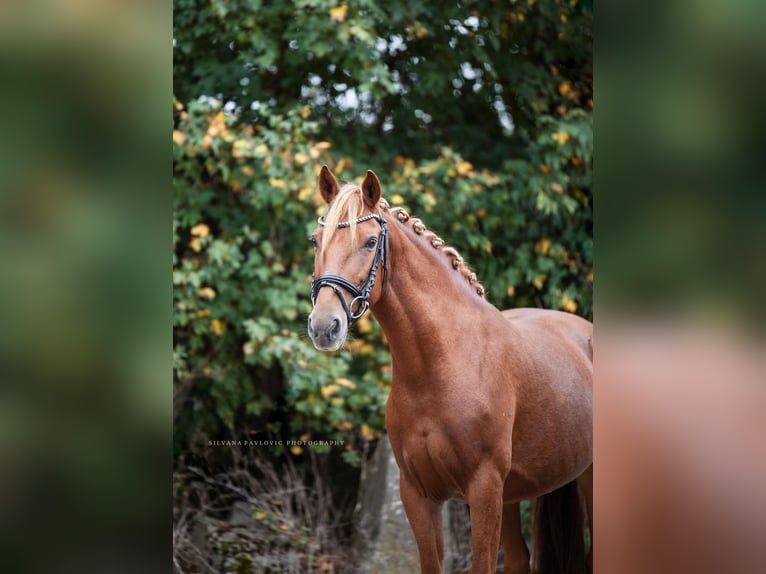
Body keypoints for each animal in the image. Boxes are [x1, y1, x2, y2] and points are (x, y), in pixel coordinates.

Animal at [308, 168, 592, 574]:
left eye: (369, 242)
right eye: (316, 242)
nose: (324, 326)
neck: (440, 366)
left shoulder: (484, 490)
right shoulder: (417, 494)